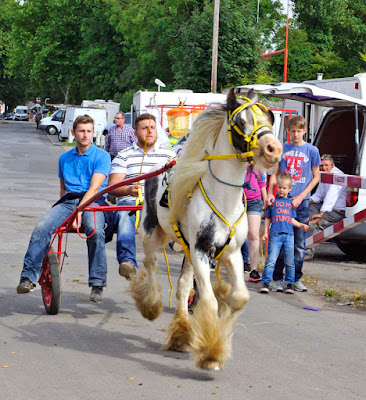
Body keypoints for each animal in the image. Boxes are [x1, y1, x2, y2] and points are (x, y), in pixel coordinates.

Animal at [129, 89, 284, 370]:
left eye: (268, 116)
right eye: (241, 120)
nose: (274, 148)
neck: (223, 197)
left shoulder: (231, 253)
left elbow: (238, 297)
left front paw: (223, 307)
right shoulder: (201, 251)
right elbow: (209, 301)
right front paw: (211, 352)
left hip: (187, 248)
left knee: (181, 286)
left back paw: (181, 334)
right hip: (150, 233)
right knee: (150, 263)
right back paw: (152, 304)